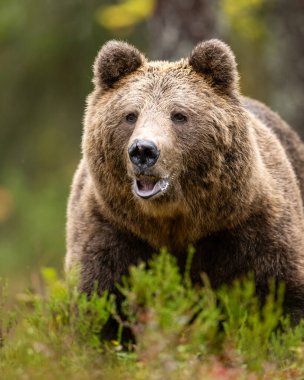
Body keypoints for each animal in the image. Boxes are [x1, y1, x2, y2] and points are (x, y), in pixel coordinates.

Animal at [66, 39, 304, 320]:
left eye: (179, 115)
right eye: (130, 115)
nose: (143, 150)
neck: (175, 221)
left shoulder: (255, 226)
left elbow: (285, 294)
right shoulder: (111, 227)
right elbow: (98, 298)